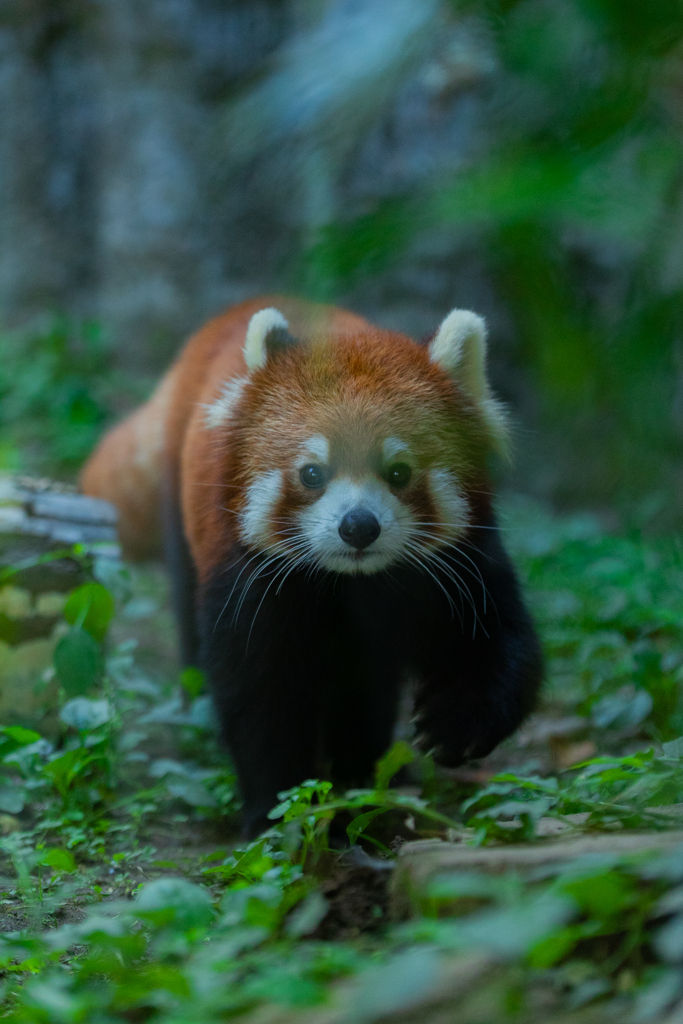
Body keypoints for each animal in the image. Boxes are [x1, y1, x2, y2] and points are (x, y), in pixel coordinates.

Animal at [80, 294, 540, 831]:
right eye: (312, 473)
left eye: (399, 472)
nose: (358, 526)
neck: (351, 580)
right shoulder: (250, 576)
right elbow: (259, 692)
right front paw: (275, 808)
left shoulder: (455, 566)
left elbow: (497, 640)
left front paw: (454, 726)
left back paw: (361, 768)